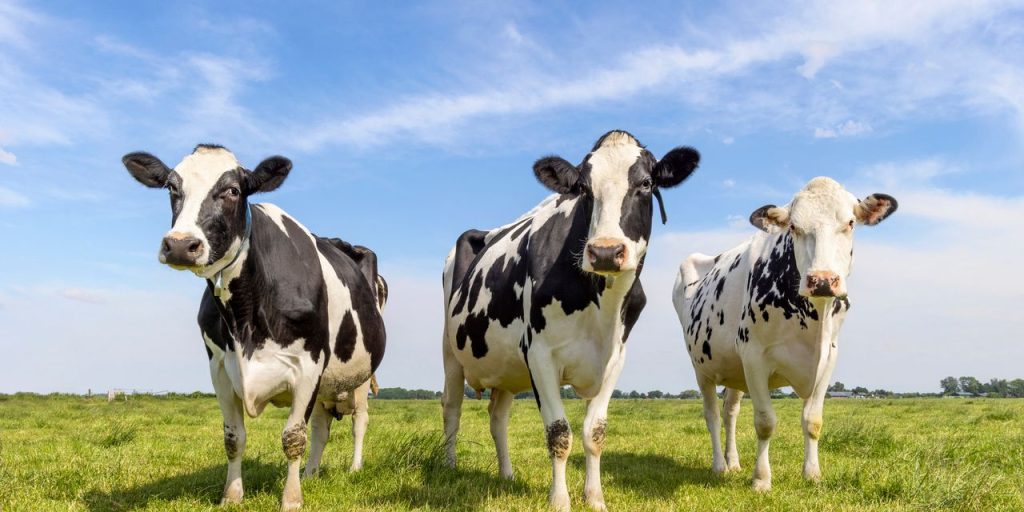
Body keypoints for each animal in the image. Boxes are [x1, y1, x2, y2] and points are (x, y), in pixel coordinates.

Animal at [123, 145, 386, 510]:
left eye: (233, 190)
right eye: (172, 188)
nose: (180, 245)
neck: (244, 317)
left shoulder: (308, 365)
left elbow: (293, 437)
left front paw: (290, 500)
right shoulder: (219, 367)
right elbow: (234, 438)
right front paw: (232, 495)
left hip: (359, 376)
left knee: (359, 421)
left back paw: (354, 468)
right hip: (326, 384)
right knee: (321, 427)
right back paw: (311, 474)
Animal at [442, 130, 700, 511]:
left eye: (646, 183)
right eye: (584, 189)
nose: (606, 251)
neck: (600, 306)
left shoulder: (615, 357)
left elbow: (595, 432)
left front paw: (594, 498)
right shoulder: (539, 354)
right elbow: (559, 432)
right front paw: (560, 501)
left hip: (505, 368)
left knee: (498, 417)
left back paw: (506, 475)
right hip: (450, 352)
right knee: (452, 408)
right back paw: (448, 467)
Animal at [672, 177, 897, 492]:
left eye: (850, 222)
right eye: (793, 227)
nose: (822, 280)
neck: (813, 321)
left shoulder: (829, 357)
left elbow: (813, 421)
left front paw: (812, 473)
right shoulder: (754, 356)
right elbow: (765, 422)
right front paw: (761, 479)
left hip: (734, 369)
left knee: (730, 413)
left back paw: (733, 463)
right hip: (702, 367)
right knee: (712, 415)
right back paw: (719, 466)